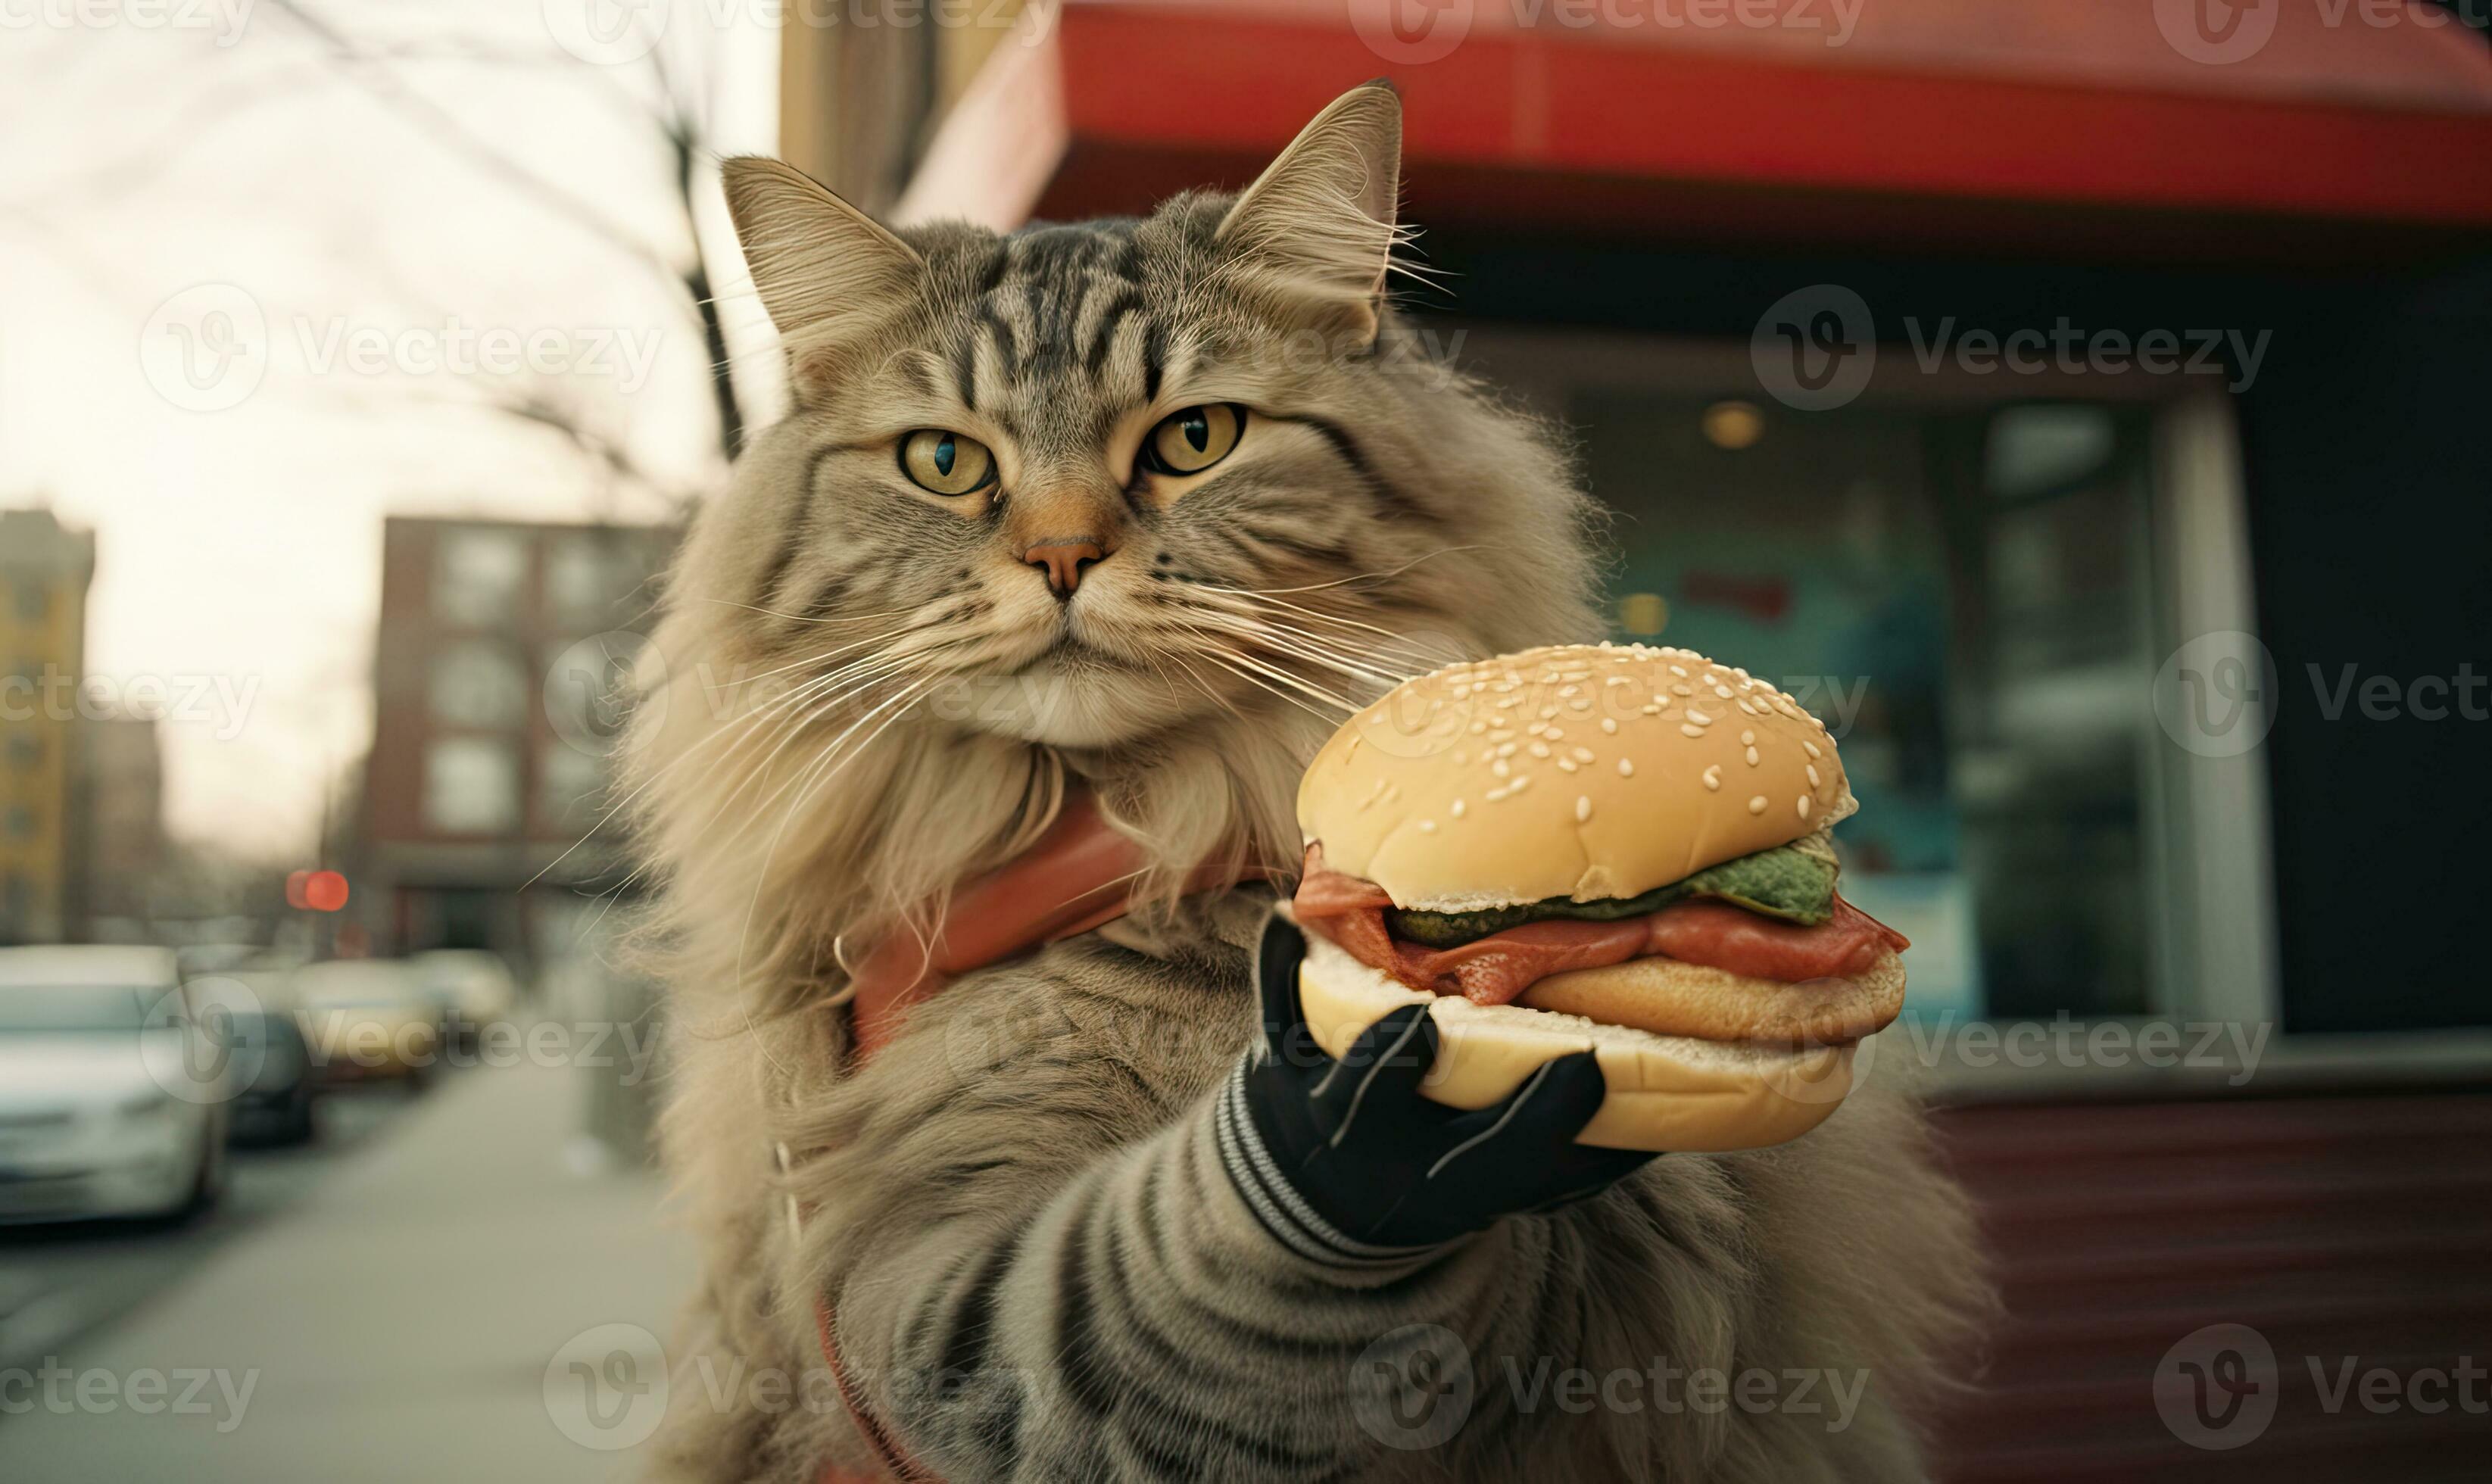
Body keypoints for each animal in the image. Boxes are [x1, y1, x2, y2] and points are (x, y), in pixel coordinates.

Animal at [622, 83, 1983, 1484]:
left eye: (1194, 439)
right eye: (945, 463)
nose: (1059, 557)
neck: (1119, 830)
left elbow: (1152, 1278)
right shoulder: (892, 1265)